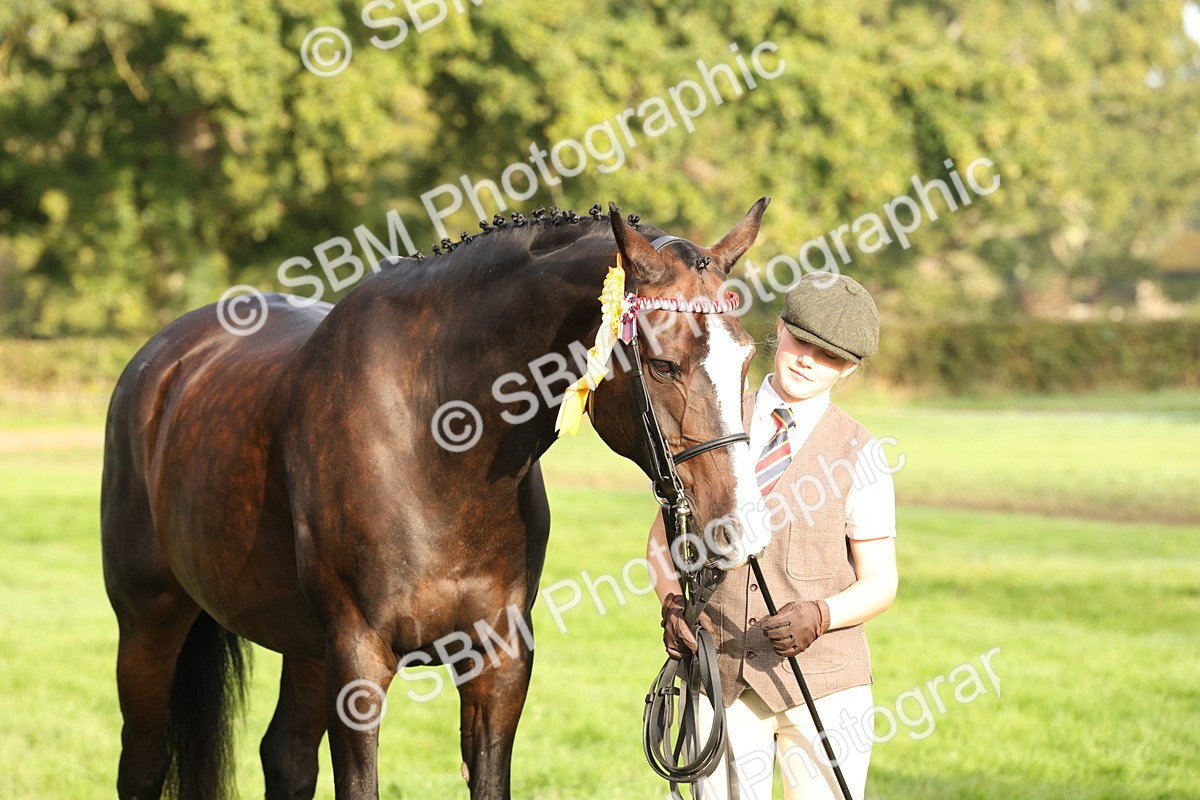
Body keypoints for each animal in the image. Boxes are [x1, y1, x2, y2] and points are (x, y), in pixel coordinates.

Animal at [100, 198, 771, 800]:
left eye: (746, 358)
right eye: (662, 365)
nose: (739, 528)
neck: (433, 440)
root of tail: (160, 362)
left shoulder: (499, 663)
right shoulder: (358, 662)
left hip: (304, 647)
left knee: (285, 759)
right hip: (149, 622)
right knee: (143, 763)